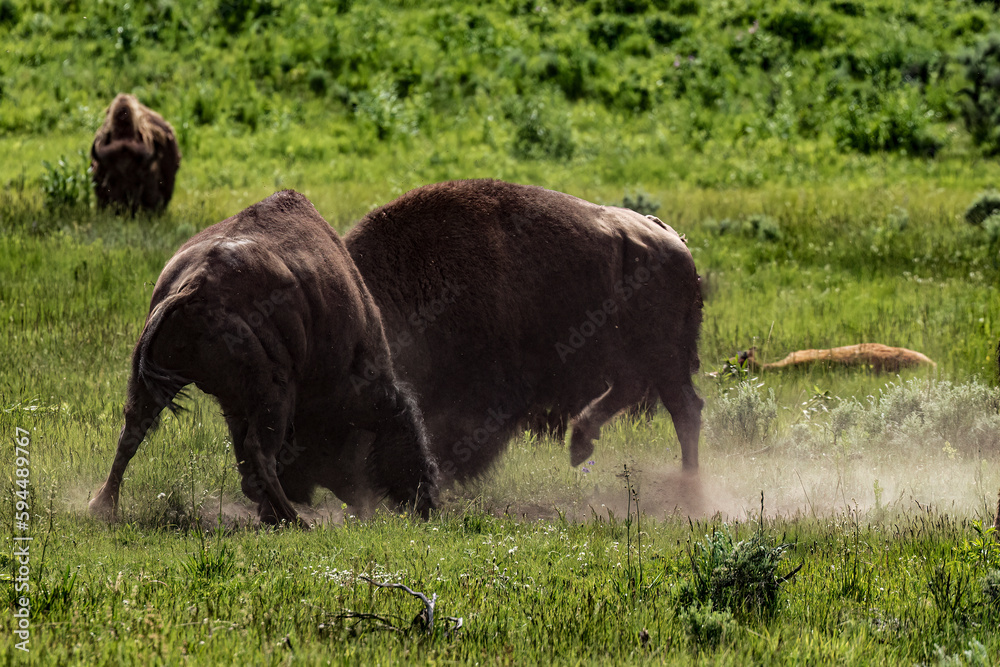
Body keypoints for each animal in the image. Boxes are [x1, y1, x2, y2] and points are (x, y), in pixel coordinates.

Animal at [89, 191, 439, 525]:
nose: (426, 504)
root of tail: (195, 285)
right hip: (273, 393)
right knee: (260, 451)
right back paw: (295, 520)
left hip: (151, 381)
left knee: (131, 432)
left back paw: (101, 507)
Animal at [345, 179, 704, 481]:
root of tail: (673, 239)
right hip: (637, 355)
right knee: (642, 391)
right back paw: (583, 445)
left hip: (664, 356)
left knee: (683, 408)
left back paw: (688, 486)